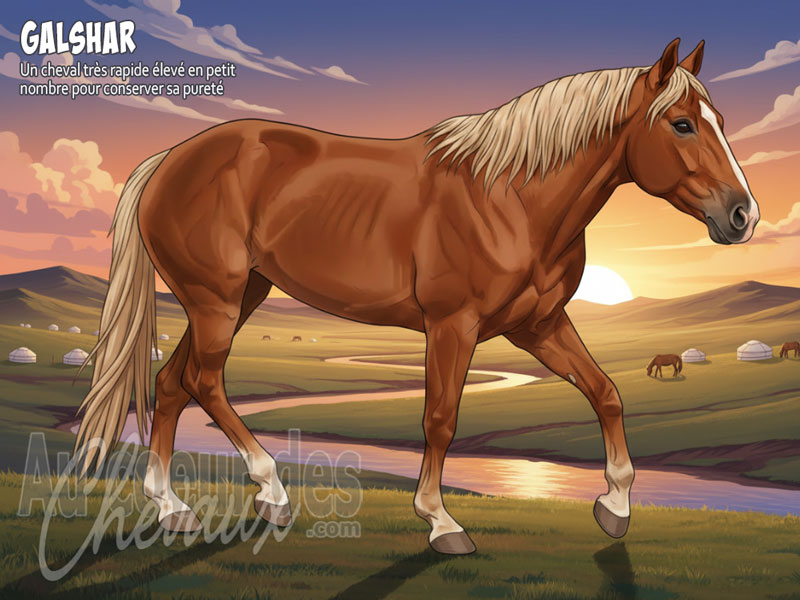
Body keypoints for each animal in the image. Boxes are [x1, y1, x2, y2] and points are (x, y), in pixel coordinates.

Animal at [75, 38, 760, 555]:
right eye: (681, 124)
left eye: (721, 123)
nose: (743, 216)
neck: (511, 198)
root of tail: (169, 160)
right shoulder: (452, 325)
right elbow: (440, 418)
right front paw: (440, 521)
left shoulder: (538, 324)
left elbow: (606, 393)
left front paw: (615, 505)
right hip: (215, 300)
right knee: (204, 381)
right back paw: (270, 491)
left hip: (237, 295)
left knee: (172, 383)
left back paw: (172, 508)